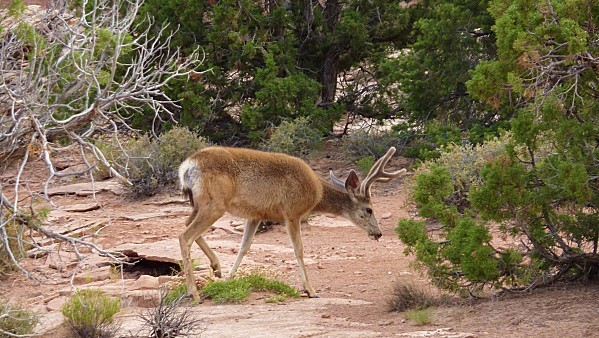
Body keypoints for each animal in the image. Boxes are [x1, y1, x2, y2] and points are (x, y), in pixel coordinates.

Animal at [176, 147, 406, 300]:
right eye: (369, 210)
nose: (378, 233)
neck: (316, 194)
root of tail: (187, 166)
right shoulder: (292, 212)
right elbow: (299, 250)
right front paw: (311, 290)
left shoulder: (255, 214)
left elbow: (244, 247)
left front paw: (229, 279)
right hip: (214, 204)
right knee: (184, 235)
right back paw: (193, 293)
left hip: (200, 204)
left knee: (186, 226)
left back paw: (216, 267)